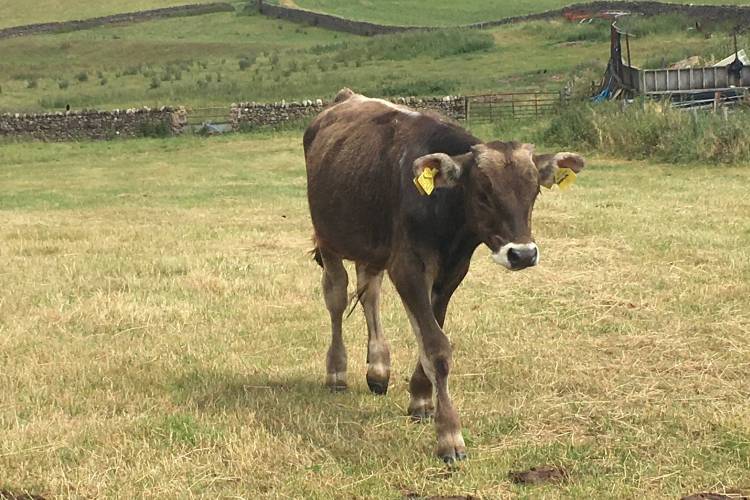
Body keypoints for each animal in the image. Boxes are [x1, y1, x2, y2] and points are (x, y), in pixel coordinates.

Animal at [303, 88, 585, 463]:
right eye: (482, 192)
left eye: (534, 191)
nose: (522, 254)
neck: (446, 216)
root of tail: (345, 98)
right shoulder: (408, 266)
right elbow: (435, 345)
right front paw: (450, 435)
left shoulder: (452, 272)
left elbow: (431, 332)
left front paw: (421, 399)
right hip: (329, 237)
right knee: (336, 296)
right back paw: (336, 371)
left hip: (372, 245)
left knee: (369, 292)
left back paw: (378, 370)